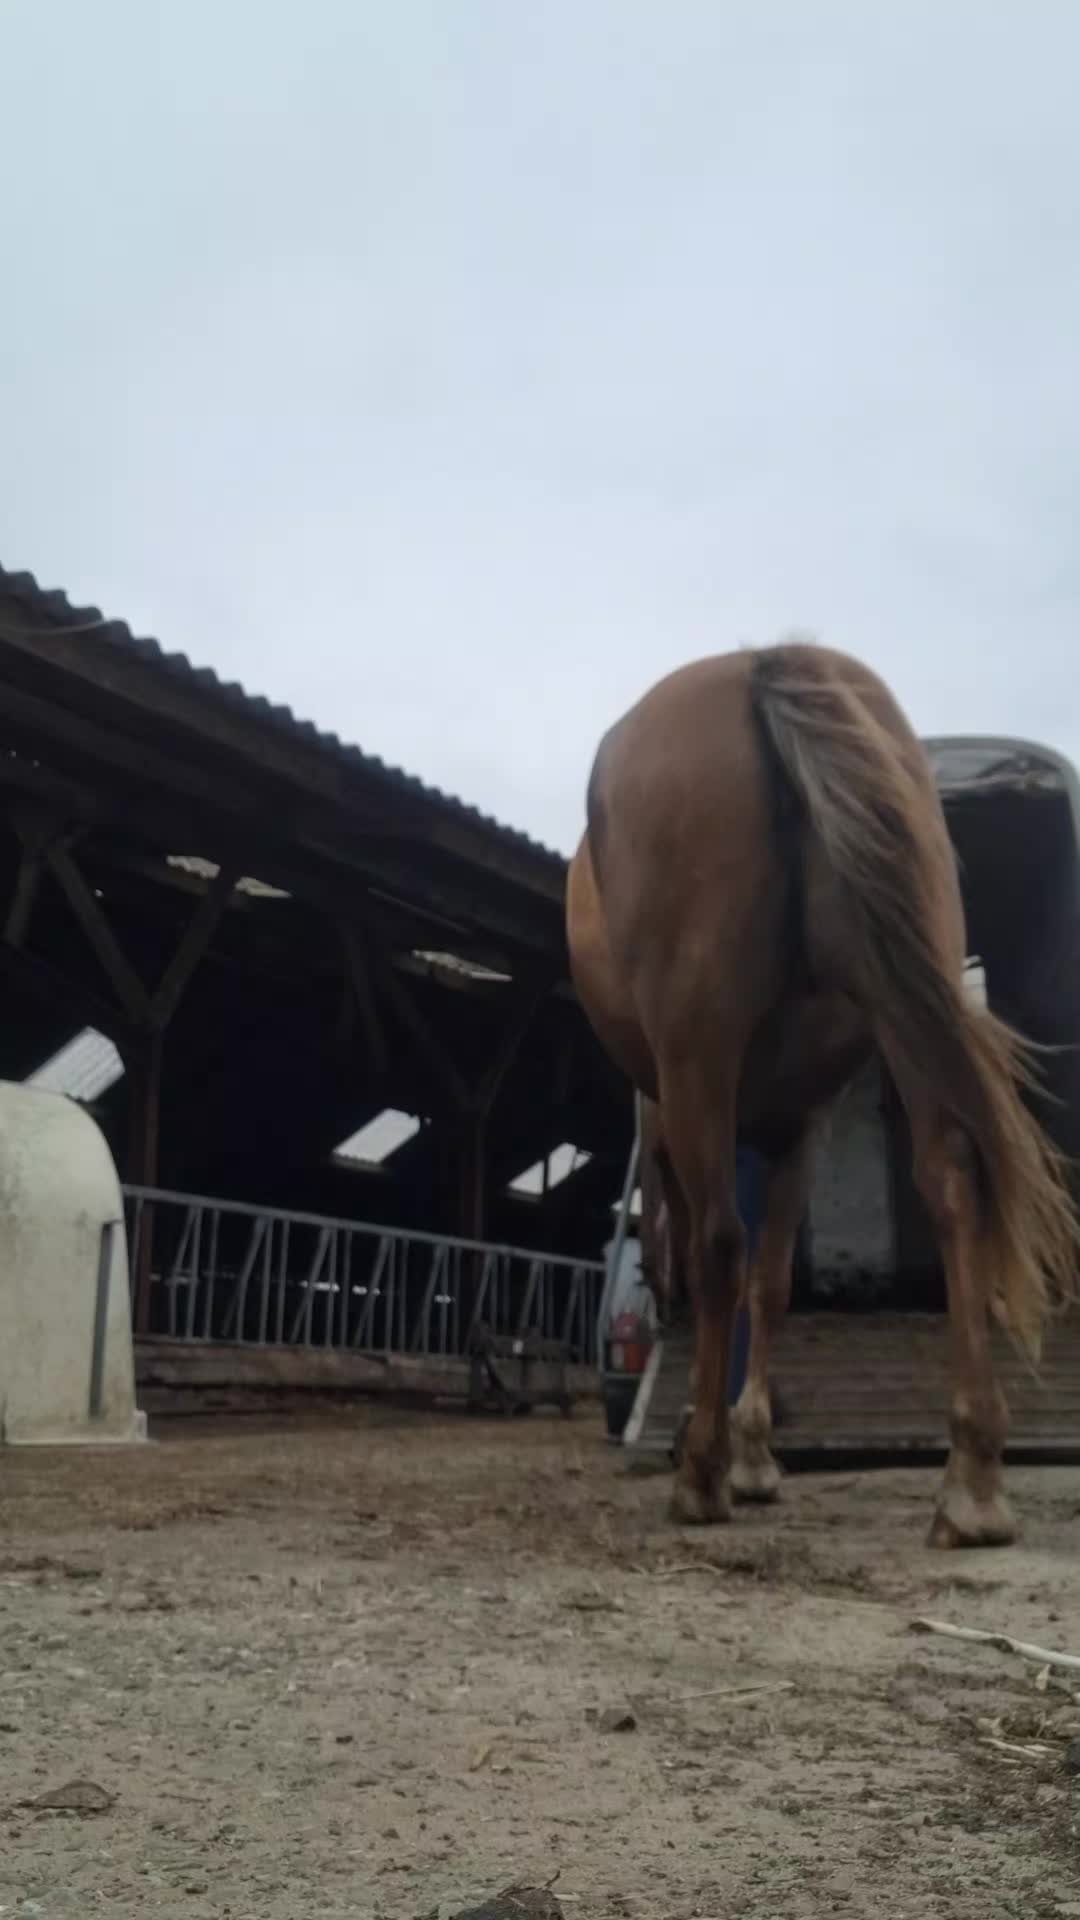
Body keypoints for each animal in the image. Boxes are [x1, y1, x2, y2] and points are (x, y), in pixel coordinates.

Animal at [567, 641, 1078, 1547]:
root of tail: (763, 664)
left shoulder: (686, 1114)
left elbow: (721, 1261)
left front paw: (721, 1448)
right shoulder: (799, 1127)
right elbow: (773, 1284)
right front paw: (756, 1452)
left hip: (701, 1044)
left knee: (719, 1245)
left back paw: (699, 1477)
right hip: (903, 1003)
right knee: (953, 1182)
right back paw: (972, 1482)